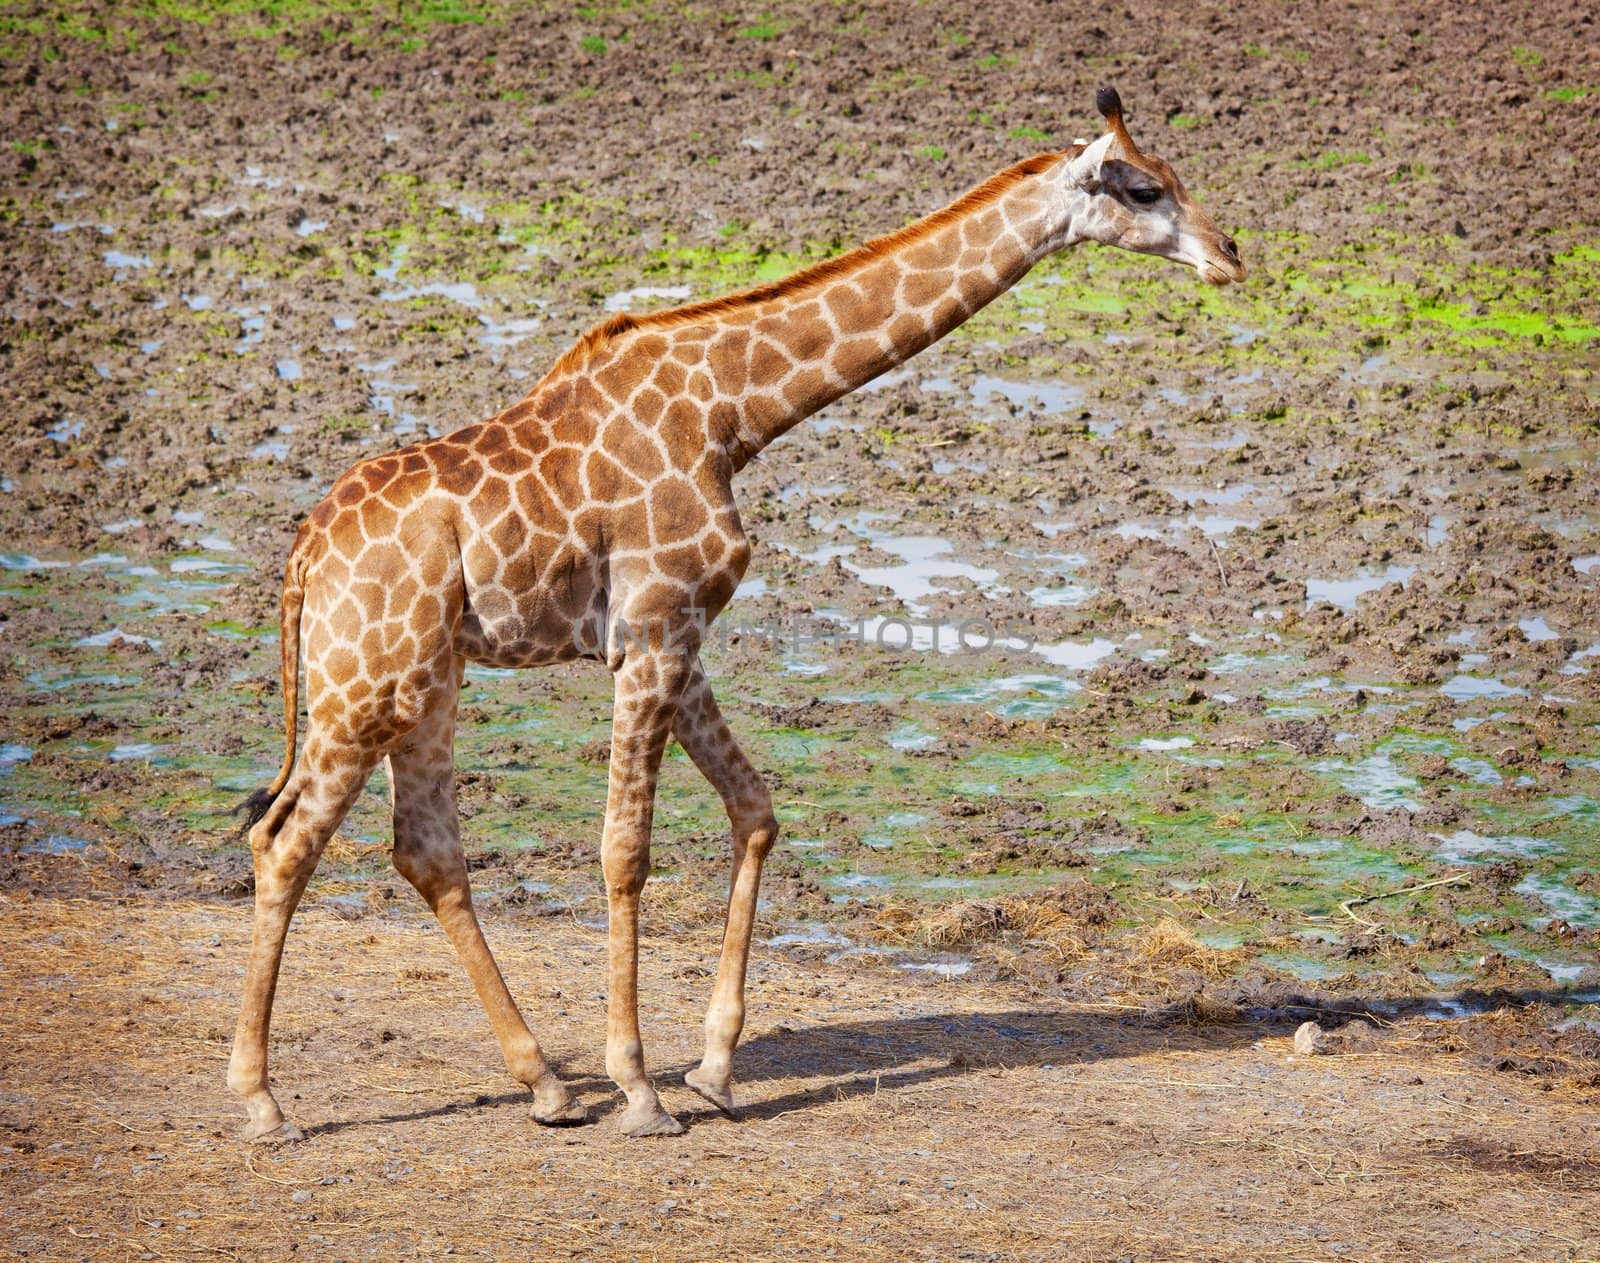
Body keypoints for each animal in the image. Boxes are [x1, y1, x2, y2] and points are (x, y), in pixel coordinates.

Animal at [232, 83, 1241, 1139]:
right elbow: (624, 853)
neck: (734, 413)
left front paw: (713, 1069)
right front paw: (640, 1088)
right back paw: (264, 1100)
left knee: (424, 851)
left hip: (425, 681)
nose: (1230, 253)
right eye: (1141, 186)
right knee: (285, 843)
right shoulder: (653, 629)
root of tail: (305, 554)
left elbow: (754, 809)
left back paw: (545, 1083)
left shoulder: (675, 636)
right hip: (368, 686)